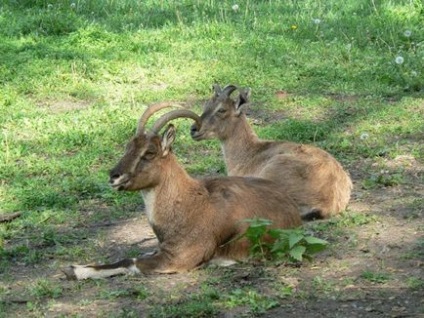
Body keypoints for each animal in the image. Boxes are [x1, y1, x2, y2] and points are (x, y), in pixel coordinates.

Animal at [62, 103, 302, 278]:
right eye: (128, 147)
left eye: (149, 153)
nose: (115, 176)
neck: (188, 204)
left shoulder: (178, 257)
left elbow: (131, 261)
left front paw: (77, 270)